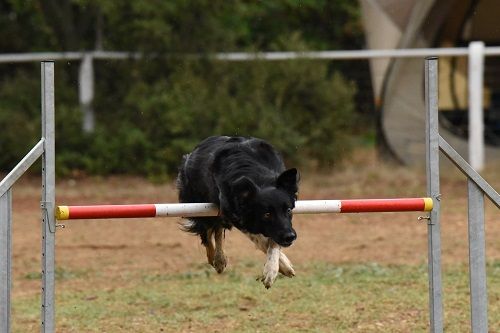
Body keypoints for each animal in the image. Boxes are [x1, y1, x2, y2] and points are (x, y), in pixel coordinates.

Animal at [178, 135, 298, 286]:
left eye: (288, 210)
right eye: (266, 214)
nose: (290, 237)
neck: (258, 179)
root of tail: (191, 154)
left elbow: (273, 241)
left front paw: (274, 268)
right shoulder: (234, 213)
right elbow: (261, 239)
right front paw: (280, 266)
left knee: (217, 230)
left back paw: (219, 258)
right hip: (201, 207)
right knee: (207, 233)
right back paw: (215, 258)